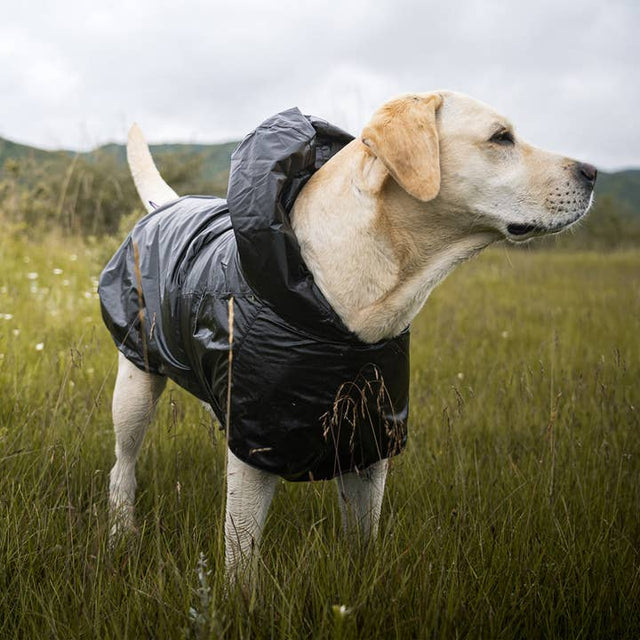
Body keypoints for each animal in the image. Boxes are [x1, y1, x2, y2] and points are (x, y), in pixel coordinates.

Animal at [102, 91, 596, 580]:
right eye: (500, 137)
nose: (592, 172)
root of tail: (167, 206)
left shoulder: (370, 441)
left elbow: (362, 537)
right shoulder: (257, 447)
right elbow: (241, 556)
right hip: (134, 388)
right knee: (122, 466)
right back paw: (121, 531)